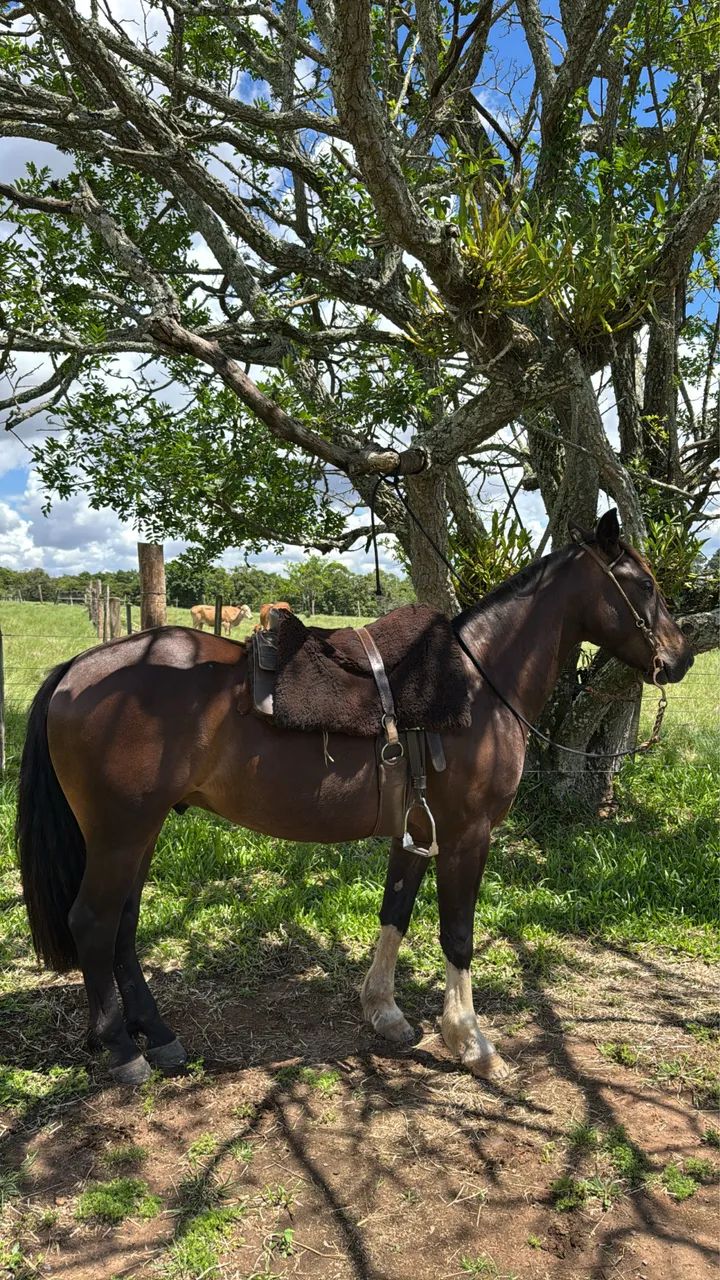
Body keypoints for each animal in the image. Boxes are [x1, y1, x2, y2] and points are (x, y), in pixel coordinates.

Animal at [16, 512, 693, 1085]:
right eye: (643, 583)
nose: (680, 657)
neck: (479, 683)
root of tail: (77, 669)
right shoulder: (467, 834)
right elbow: (457, 934)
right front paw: (472, 1044)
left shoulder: (419, 831)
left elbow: (395, 913)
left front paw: (385, 1013)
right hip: (121, 830)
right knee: (93, 921)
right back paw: (122, 1050)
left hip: (140, 831)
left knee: (122, 928)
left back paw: (156, 1036)